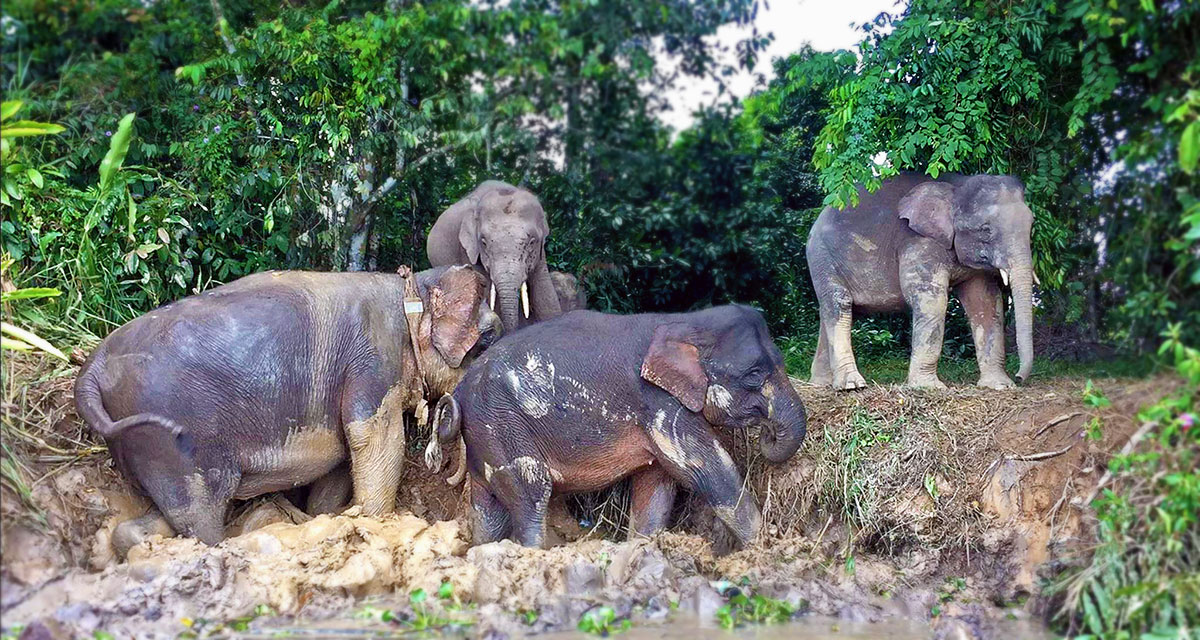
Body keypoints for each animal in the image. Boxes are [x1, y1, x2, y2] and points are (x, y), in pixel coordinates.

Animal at [75, 264, 499, 545]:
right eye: (489, 338)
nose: (444, 471)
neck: (412, 289)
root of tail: (92, 365)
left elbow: (339, 465)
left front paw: (326, 517)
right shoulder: (372, 361)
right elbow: (375, 439)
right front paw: (376, 523)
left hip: (137, 442)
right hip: (175, 440)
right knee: (200, 512)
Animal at [432, 304, 806, 549]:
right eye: (754, 374)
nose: (767, 434)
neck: (685, 321)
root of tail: (459, 392)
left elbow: (657, 486)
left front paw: (642, 549)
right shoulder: (658, 401)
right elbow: (706, 471)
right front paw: (768, 551)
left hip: (486, 435)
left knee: (488, 508)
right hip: (503, 425)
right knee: (531, 495)